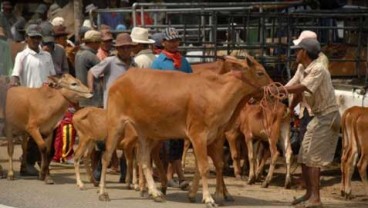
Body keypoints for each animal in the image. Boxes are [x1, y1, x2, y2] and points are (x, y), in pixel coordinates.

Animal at [98, 54, 270, 207]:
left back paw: (154, 192)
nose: (274, 88)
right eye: (260, 72)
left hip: (146, 134)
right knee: (106, 157)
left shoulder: (212, 138)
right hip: (116, 125)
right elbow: (205, 167)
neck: (216, 92)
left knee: (144, 161)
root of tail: (121, 78)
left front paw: (196, 194)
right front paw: (209, 198)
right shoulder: (198, 135)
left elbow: (208, 166)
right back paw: (103, 192)